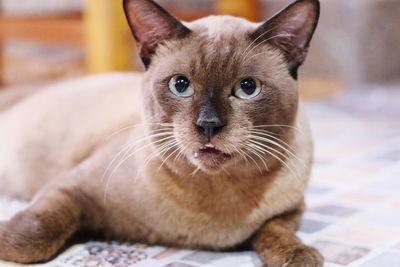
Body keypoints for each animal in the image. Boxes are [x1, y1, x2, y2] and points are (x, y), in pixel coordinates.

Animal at [0, 0, 320, 266]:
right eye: (181, 85)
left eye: (248, 88)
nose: (208, 124)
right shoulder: (72, 188)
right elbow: (34, 236)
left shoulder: (290, 211)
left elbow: (274, 229)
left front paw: (299, 255)